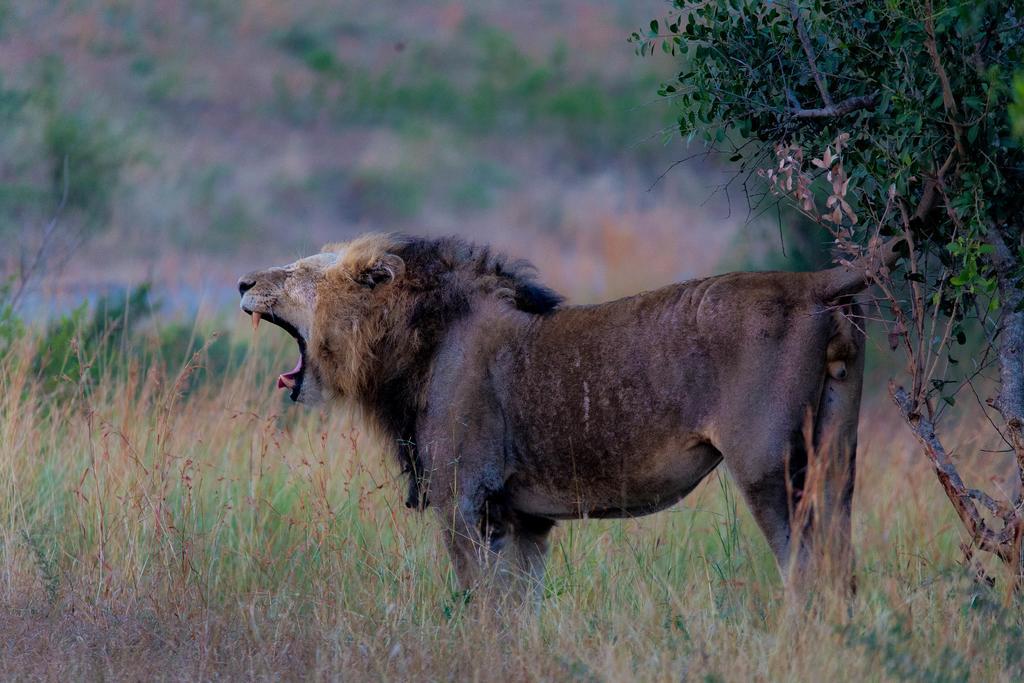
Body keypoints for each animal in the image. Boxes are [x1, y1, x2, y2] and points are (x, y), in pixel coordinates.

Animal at [237, 233, 888, 598]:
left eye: (295, 272)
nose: (242, 281)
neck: (418, 340)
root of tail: (811, 282)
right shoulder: (523, 520)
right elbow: (519, 611)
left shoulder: (464, 503)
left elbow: (483, 609)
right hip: (837, 461)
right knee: (841, 571)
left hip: (768, 469)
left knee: (805, 574)